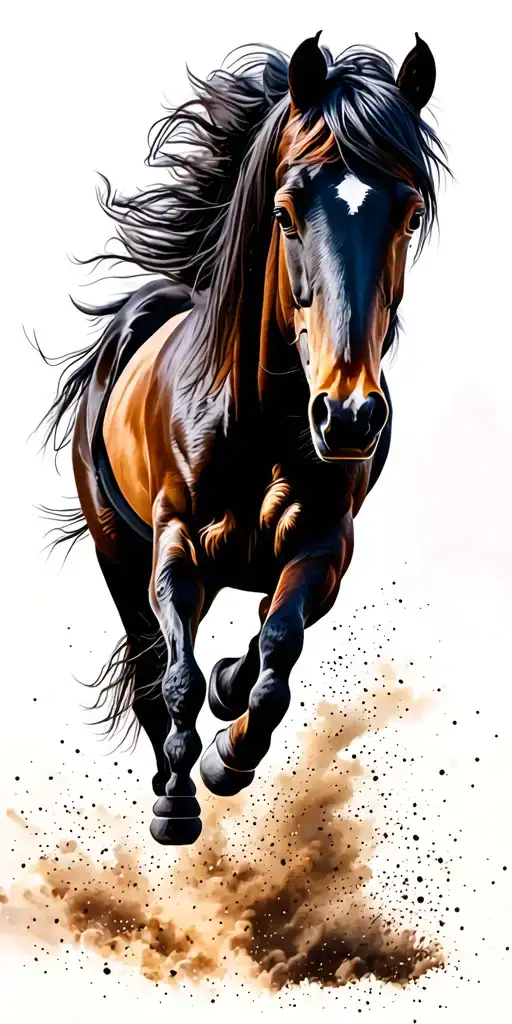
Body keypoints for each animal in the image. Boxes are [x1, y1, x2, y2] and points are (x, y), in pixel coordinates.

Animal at [38, 32, 449, 846]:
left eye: (410, 214)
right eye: (286, 212)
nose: (348, 416)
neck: (259, 422)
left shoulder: (325, 546)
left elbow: (277, 655)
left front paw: (230, 753)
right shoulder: (175, 545)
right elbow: (177, 676)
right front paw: (179, 797)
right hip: (116, 549)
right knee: (149, 667)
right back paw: (170, 779)